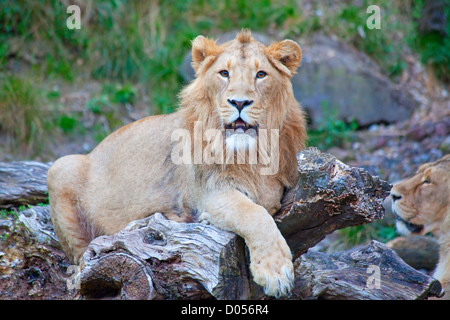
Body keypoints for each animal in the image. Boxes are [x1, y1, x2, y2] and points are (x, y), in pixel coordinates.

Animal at [47, 30, 308, 298]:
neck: (250, 151)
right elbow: (254, 214)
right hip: (61, 168)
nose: (239, 102)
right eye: (224, 73)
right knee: (81, 260)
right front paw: (275, 273)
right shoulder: (209, 193)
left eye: (261, 74)